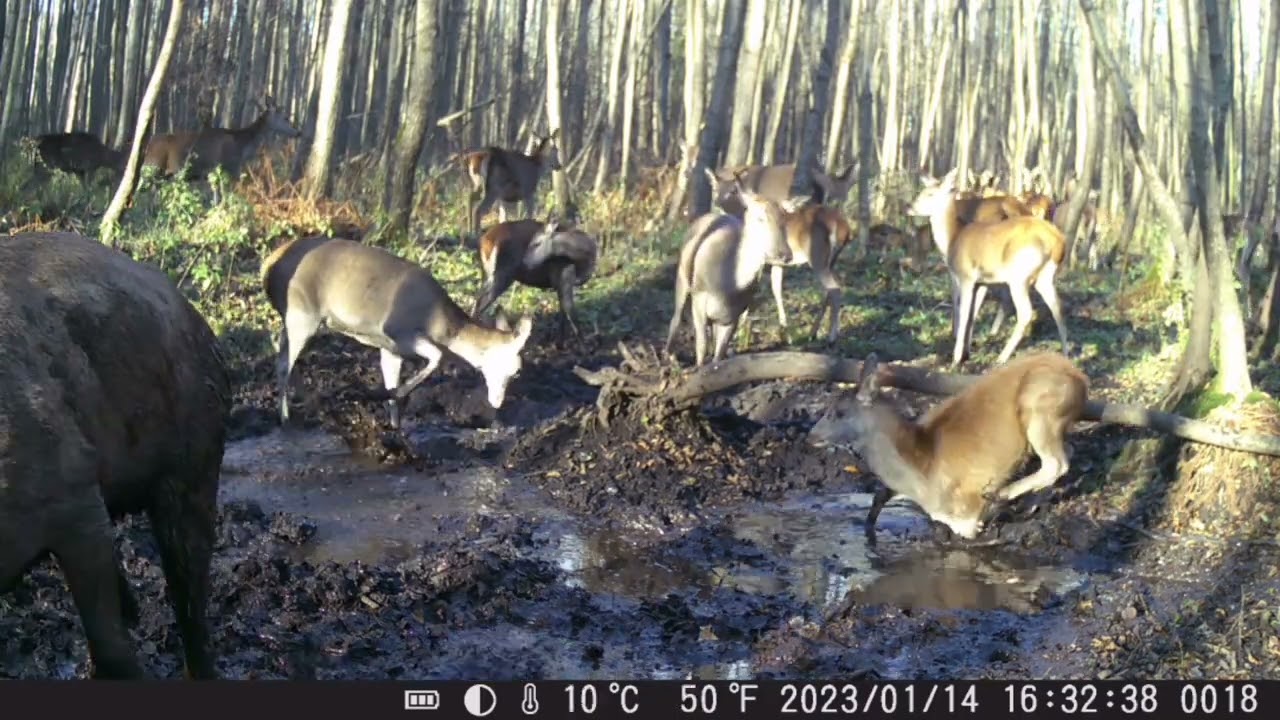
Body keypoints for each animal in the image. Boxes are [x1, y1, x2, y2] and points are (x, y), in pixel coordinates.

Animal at [260, 235, 535, 430]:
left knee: (281, 349)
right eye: (516, 370)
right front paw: (397, 394)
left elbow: (392, 378)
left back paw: (309, 403)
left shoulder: (390, 348)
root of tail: (267, 265)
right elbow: (437, 357)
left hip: (294, 316)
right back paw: (285, 418)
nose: (497, 402)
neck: (443, 327)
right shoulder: (398, 330)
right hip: (302, 312)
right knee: (284, 362)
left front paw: (394, 424)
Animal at [664, 180, 793, 366]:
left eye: (784, 219)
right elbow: (701, 348)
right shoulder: (699, 298)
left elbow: (719, 354)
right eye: (760, 218)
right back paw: (670, 355)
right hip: (682, 278)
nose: (785, 254)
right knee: (676, 316)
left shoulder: (735, 313)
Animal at [807, 351, 1089, 542]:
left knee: (1057, 462)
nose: (811, 434)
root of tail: (1081, 379)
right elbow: (880, 495)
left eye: (839, 412)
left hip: (1039, 407)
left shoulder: (967, 515)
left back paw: (1002, 495)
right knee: (1068, 452)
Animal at [907, 168, 1072, 368]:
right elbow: (972, 314)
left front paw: (956, 358)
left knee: (1025, 311)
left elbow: (963, 312)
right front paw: (966, 354)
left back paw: (1001, 358)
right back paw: (1066, 356)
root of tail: (1058, 242)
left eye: (930, 194)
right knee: (1058, 308)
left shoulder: (966, 277)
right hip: (1045, 276)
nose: (910, 207)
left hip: (1019, 276)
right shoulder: (982, 282)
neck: (953, 239)